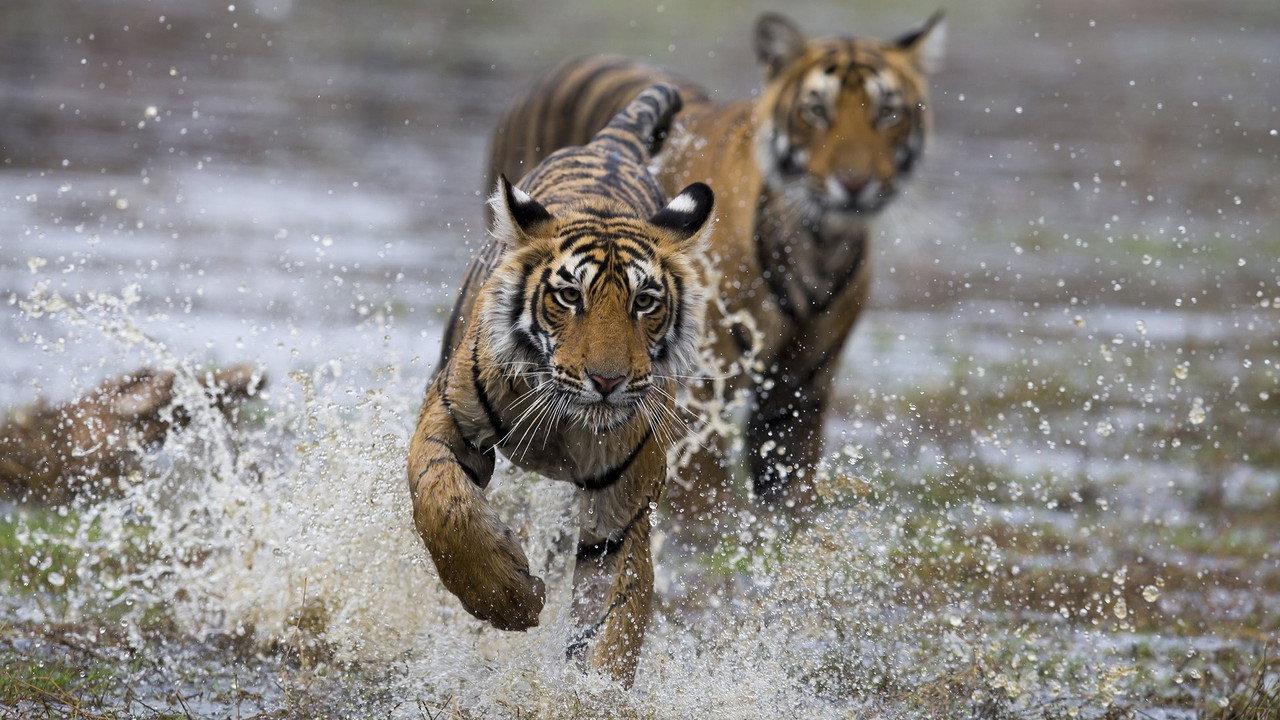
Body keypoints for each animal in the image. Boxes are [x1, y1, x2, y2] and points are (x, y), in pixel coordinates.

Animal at [407, 83, 714, 684]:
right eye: (570, 296)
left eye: (646, 302)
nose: (607, 380)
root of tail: (611, 145)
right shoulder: (448, 423)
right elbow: (445, 506)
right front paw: (510, 600)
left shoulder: (619, 513)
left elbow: (616, 619)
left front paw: (592, 689)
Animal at [486, 11, 946, 512]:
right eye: (816, 111)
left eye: (888, 113)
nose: (855, 184)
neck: (817, 243)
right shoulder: (701, 390)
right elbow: (704, 501)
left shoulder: (801, 393)